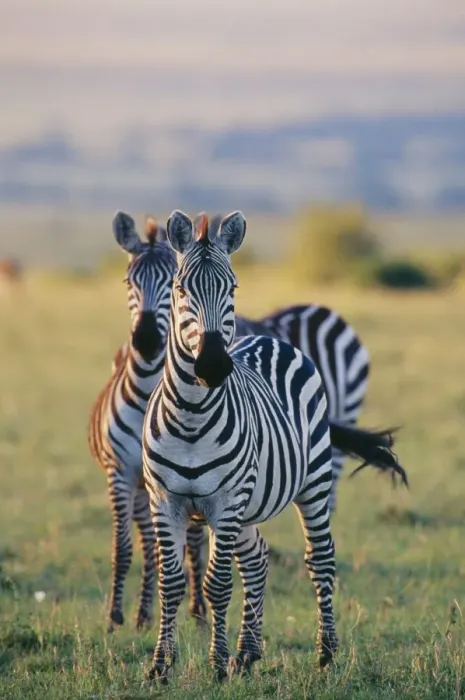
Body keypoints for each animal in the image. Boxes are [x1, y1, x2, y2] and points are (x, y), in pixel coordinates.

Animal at [88, 213, 206, 632]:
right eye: (129, 282)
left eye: (172, 283)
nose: (145, 341)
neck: (143, 397)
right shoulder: (120, 472)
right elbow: (123, 546)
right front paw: (115, 617)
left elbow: (178, 546)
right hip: (140, 488)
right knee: (147, 541)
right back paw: (142, 612)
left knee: (186, 543)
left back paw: (194, 609)